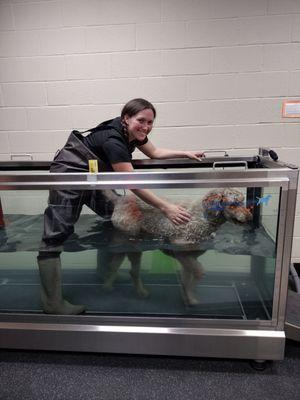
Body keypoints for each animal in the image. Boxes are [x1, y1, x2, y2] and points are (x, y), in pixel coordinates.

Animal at [102, 189, 252, 304]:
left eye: (242, 202)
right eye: (232, 205)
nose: (250, 216)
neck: (204, 217)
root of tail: (119, 199)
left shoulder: (190, 258)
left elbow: (187, 278)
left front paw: (187, 296)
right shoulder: (181, 251)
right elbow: (199, 272)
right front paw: (191, 298)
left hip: (122, 247)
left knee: (113, 266)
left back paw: (108, 286)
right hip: (134, 246)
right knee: (133, 272)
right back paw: (141, 292)